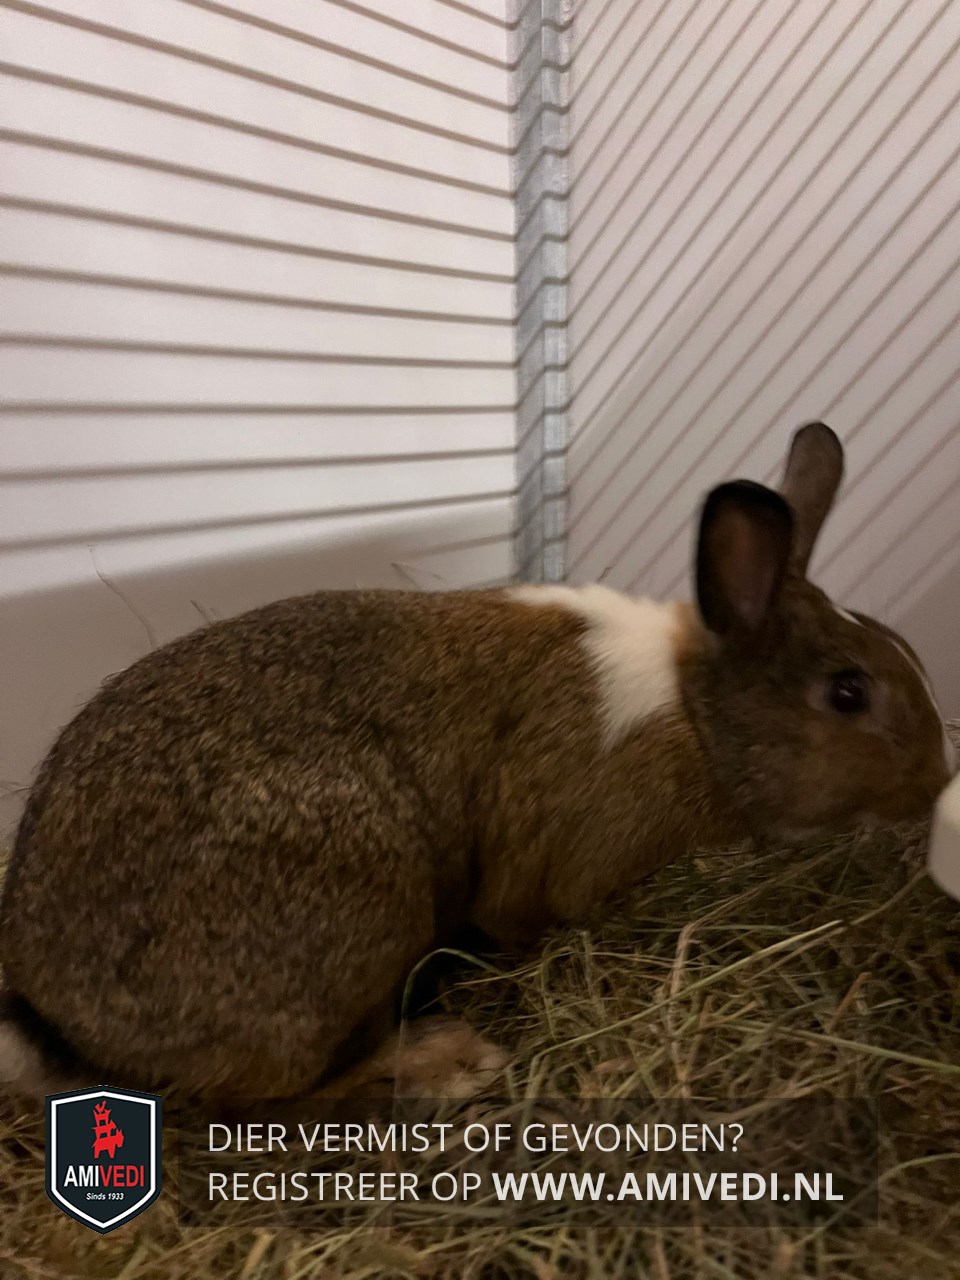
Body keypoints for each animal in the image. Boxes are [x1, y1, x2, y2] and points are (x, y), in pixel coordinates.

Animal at [0, 423, 953, 1101]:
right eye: (847, 693)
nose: (938, 779)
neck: (695, 710)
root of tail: (54, 1021)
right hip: (356, 907)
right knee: (273, 1094)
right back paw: (446, 1061)